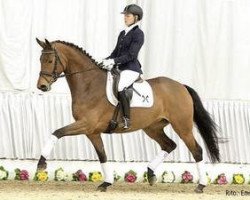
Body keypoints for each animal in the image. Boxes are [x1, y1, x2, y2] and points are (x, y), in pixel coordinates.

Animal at [36, 38, 220, 193]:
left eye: (50, 61)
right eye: (40, 60)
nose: (42, 86)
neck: (89, 84)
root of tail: (181, 86)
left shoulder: (86, 124)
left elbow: (56, 133)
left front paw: (41, 163)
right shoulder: (92, 132)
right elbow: (102, 155)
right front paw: (106, 183)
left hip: (182, 126)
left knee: (196, 150)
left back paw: (200, 185)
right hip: (152, 127)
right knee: (169, 145)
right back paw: (151, 174)